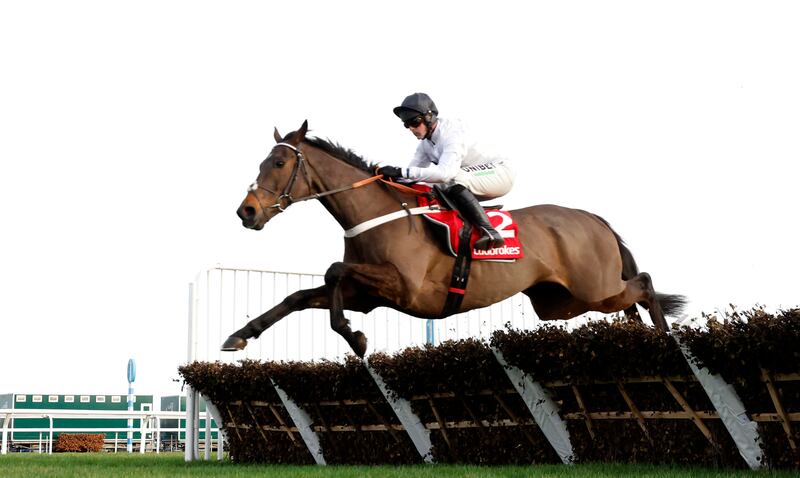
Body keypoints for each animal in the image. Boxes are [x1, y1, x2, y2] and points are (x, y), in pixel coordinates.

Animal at [222, 121, 684, 356]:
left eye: (278, 163)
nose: (247, 211)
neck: (377, 212)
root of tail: (594, 218)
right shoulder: (368, 295)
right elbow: (299, 296)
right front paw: (240, 334)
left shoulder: (404, 286)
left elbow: (334, 271)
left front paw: (355, 338)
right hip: (559, 303)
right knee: (630, 299)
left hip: (593, 290)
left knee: (644, 284)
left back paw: (666, 340)